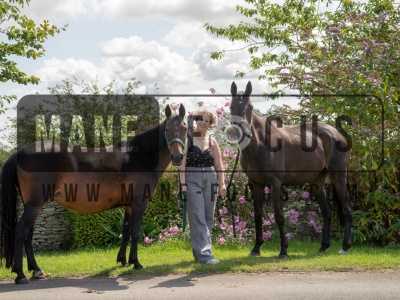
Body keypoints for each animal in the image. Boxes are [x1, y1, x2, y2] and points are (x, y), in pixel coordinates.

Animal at [0, 103, 188, 284]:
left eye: (185, 128)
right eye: (167, 130)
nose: (177, 157)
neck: (140, 157)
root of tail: (21, 152)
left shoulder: (129, 205)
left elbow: (126, 231)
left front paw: (123, 260)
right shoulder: (139, 203)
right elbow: (135, 232)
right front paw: (136, 263)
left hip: (31, 205)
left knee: (28, 235)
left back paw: (36, 270)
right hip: (34, 205)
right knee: (21, 232)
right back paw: (20, 275)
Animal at [230, 81, 352, 258]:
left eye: (250, 107)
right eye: (232, 107)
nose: (244, 133)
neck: (261, 144)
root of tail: (337, 134)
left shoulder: (275, 183)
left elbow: (279, 217)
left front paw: (283, 250)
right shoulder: (255, 184)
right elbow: (258, 216)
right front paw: (256, 248)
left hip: (339, 178)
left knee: (347, 209)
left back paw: (345, 247)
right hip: (317, 182)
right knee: (327, 212)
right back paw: (323, 247)